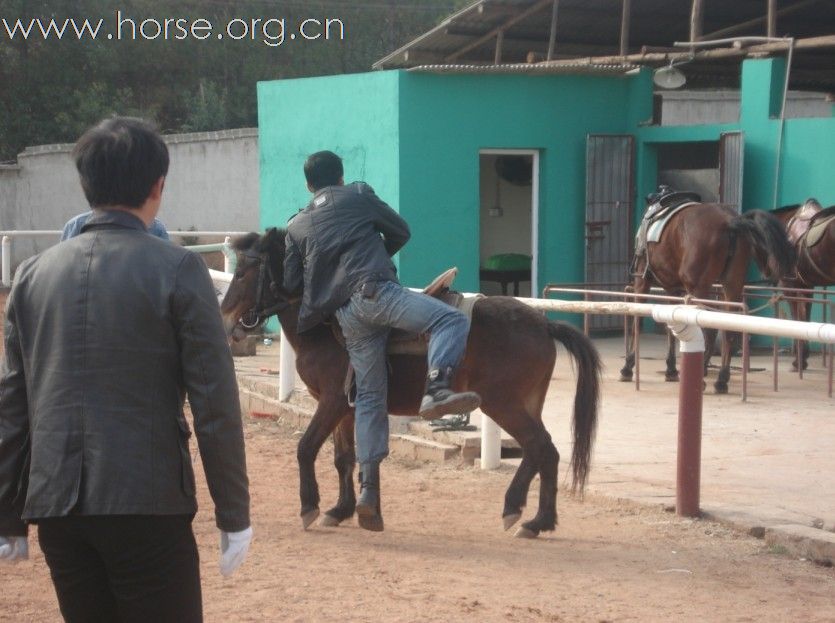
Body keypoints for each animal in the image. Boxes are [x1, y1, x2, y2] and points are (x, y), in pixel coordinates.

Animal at [220, 227, 600, 540]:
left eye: (242, 273)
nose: (224, 317)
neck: (327, 324)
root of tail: (544, 324)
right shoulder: (344, 408)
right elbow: (344, 457)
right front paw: (340, 510)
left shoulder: (331, 401)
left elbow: (307, 447)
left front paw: (310, 507)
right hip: (524, 404)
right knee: (544, 451)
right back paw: (536, 519)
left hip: (503, 404)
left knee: (538, 447)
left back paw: (525, 516)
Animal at [620, 202, 796, 392]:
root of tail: (729, 221)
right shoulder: (673, 289)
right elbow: (671, 329)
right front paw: (671, 369)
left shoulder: (641, 281)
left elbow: (636, 323)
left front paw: (628, 367)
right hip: (731, 285)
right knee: (728, 329)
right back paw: (721, 379)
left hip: (698, 288)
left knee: (709, 330)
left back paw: (703, 373)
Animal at [772, 197, 835, 368]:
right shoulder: (807, 285)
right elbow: (805, 316)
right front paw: (803, 357)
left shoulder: (789, 286)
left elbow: (797, 318)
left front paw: (799, 361)